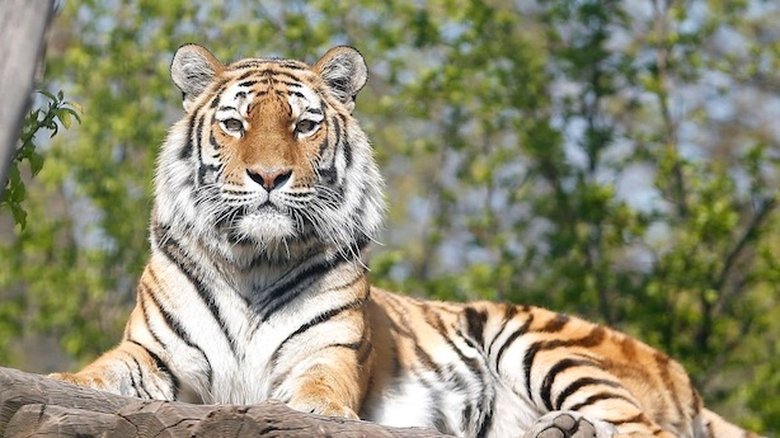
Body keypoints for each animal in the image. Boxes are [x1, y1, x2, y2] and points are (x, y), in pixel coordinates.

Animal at [48, 43, 760, 438]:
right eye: (235, 124)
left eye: (303, 125)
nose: (270, 176)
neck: (253, 259)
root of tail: (686, 378)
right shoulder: (155, 355)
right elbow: (101, 374)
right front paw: (63, 382)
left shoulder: (326, 353)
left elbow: (315, 394)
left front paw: (319, 415)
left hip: (537, 341)